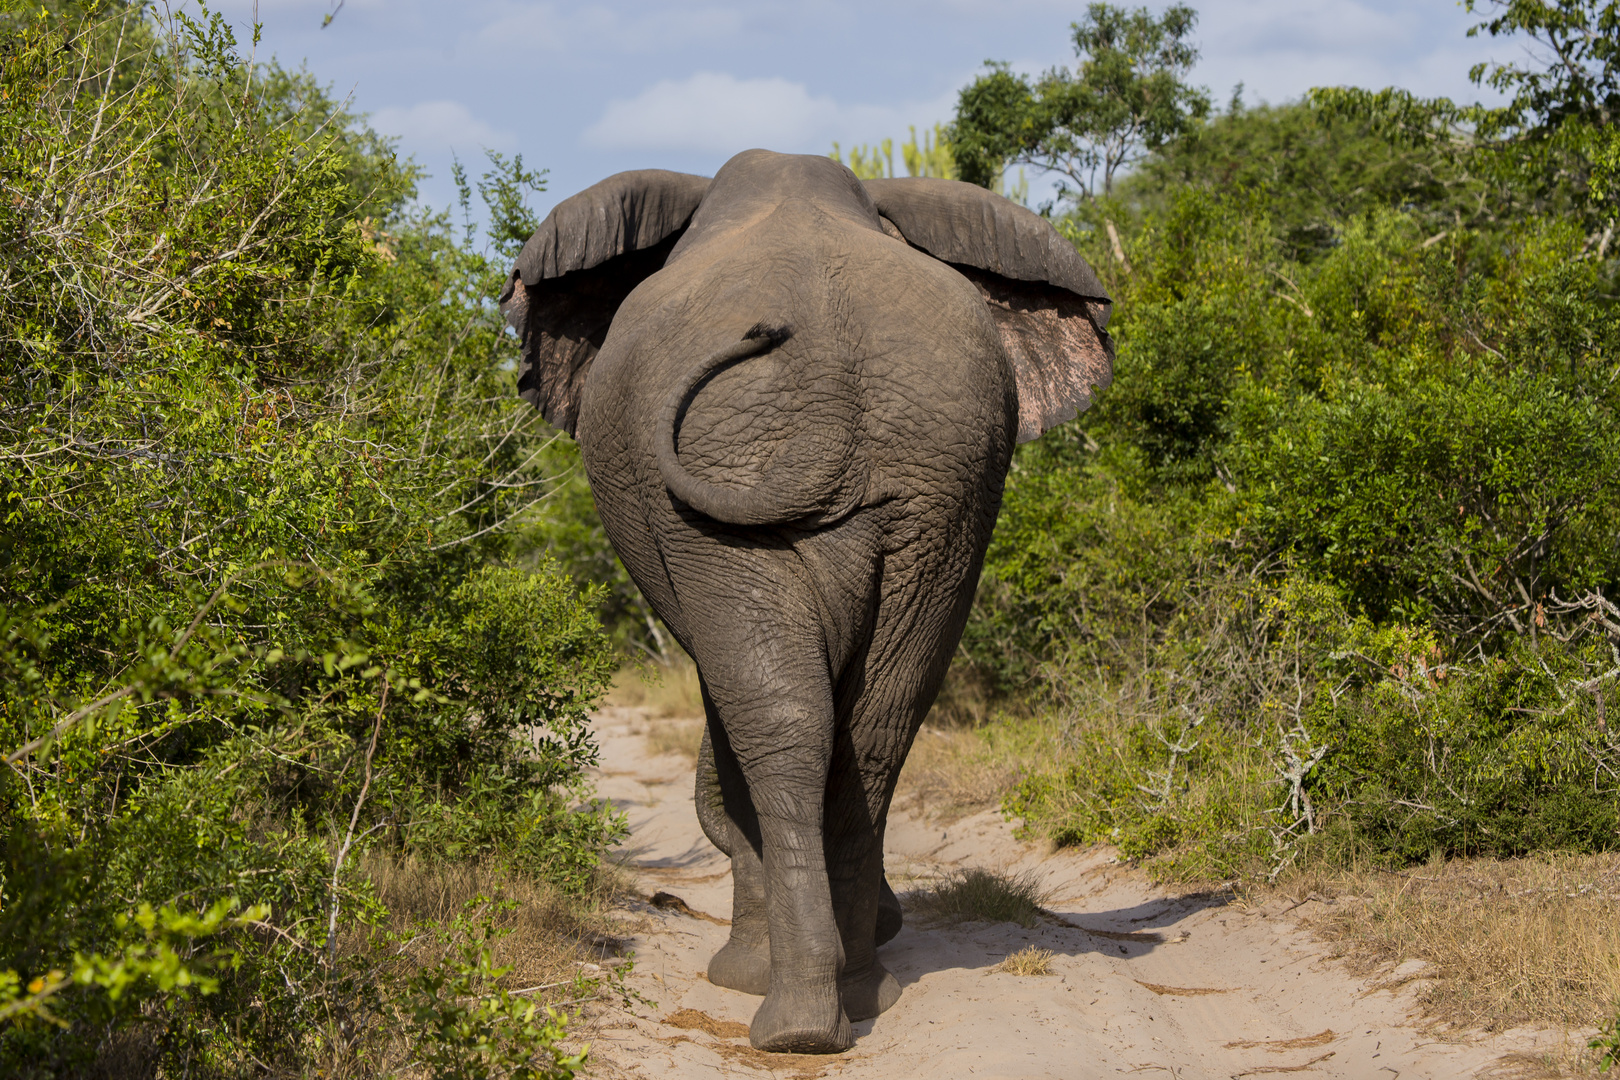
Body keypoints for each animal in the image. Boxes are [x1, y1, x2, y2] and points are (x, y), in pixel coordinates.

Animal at [498, 148, 1114, 1049]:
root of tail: (825, 368)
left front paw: (739, 972)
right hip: (941, 485)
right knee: (878, 725)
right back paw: (854, 993)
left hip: (729, 482)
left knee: (780, 719)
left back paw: (790, 1018)